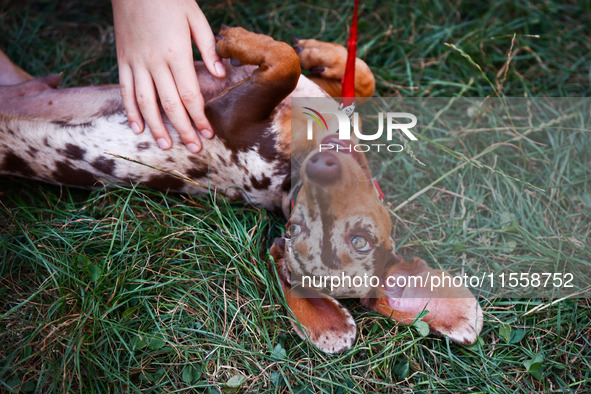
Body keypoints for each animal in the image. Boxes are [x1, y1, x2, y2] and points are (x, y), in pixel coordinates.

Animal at [0, 26, 484, 354]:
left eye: (358, 241)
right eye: (298, 227)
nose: (319, 169)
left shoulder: (227, 115)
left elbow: (284, 63)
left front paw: (235, 40)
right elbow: (345, 75)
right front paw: (318, 52)